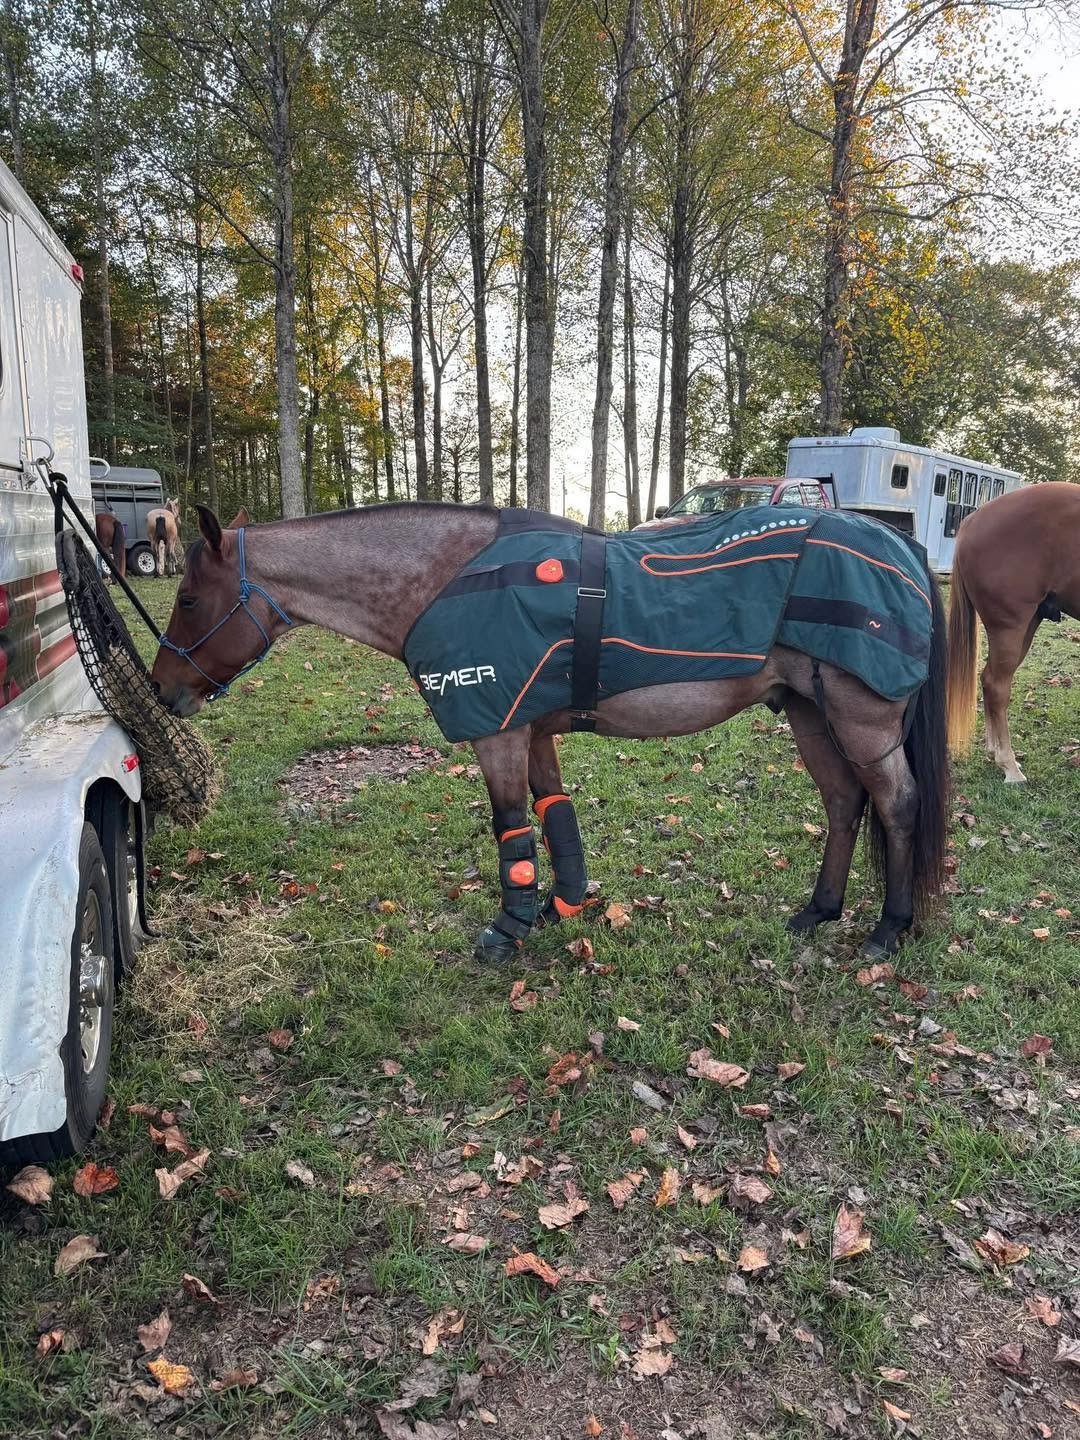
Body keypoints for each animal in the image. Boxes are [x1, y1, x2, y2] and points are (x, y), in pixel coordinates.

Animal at [151, 502, 949, 961]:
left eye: (187, 598)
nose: (162, 690)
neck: (446, 578)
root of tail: (896, 540)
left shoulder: (498, 735)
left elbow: (511, 829)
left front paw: (511, 927)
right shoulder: (531, 731)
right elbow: (553, 814)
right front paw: (563, 904)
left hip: (861, 720)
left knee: (897, 805)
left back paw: (888, 928)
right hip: (811, 713)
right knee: (845, 804)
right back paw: (819, 911)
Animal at [946, 482, 1080, 783]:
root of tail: (974, 519)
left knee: (987, 680)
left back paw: (995, 752)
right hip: (1010, 627)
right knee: (996, 686)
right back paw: (1009, 765)